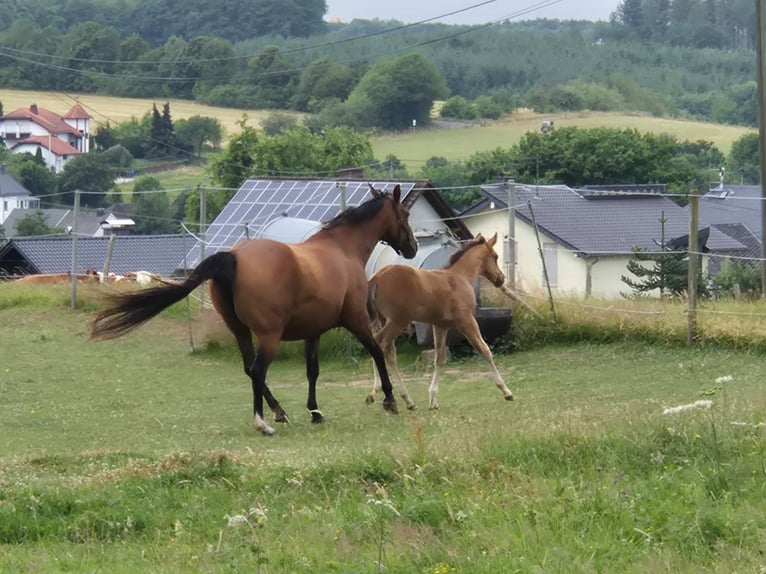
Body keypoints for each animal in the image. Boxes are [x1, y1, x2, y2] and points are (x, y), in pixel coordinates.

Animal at [90, 184, 418, 435]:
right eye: (405, 215)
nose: (413, 247)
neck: (341, 249)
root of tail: (233, 258)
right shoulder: (356, 320)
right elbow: (377, 352)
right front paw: (390, 401)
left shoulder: (313, 332)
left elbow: (312, 371)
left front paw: (315, 411)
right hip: (269, 335)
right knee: (259, 369)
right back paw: (265, 421)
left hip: (240, 331)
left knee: (250, 369)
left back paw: (277, 412)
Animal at [366, 233, 514, 410]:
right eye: (495, 256)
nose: (501, 279)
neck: (459, 277)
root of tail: (376, 278)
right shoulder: (466, 320)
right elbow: (485, 350)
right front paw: (506, 391)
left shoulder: (440, 326)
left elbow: (439, 359)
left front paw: (433, 399)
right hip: (397, 321)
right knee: (380, 345)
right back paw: (376, 393)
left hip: (384, 321)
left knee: (389, 352)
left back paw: (407, 400)